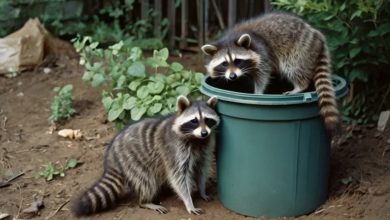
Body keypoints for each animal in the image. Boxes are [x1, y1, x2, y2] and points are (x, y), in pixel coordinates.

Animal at [71, 95, 219, 216]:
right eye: (194, 121)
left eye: (207, 120)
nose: (204, 133)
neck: (196, 139)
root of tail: (112, 153)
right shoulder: (173, 150)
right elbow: (178, 177)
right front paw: (188, 201)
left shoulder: (205, 146)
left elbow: (202, 169)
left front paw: (202, 190)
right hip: (133, 161)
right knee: (146, 181)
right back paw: (145, 201)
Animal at [203, 12, 340, 132]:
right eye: (224, 64)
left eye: (237, 61)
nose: (232, 76)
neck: (232, 38)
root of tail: (317, 35)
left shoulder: (262, 51)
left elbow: (263, 74)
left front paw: (257, 93)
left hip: (300, 48)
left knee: (292, 65)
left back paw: (300, 86)